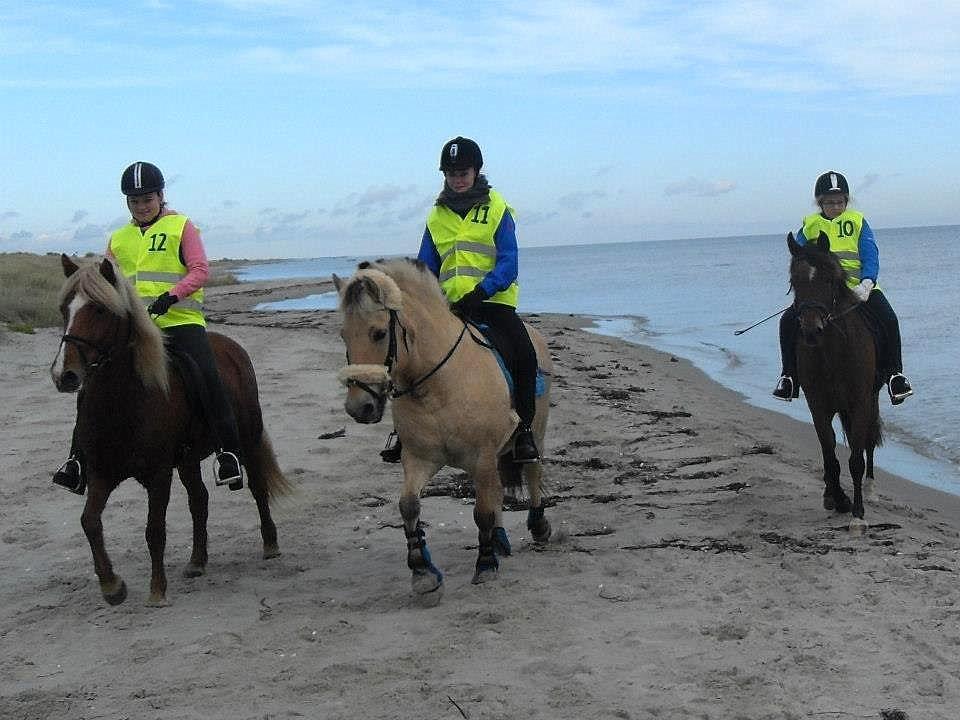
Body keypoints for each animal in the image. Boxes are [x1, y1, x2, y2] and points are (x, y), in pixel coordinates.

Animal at [49, 256, 288, 604]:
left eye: (100, 310)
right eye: (64, 308)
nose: (64, 375)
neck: (123, 403)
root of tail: (231, 347)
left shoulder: (159, 475)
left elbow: (154, 530)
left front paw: (157, 590)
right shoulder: (100, 472)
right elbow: (90, 522)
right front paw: (112, 587)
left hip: (248, 438)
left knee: (257, 486)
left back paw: (270, 544)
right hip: (187, 459)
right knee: (199, 500)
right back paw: (197, 561)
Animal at [334, 258, 552, 596]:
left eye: (379, 333)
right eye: (344, 335)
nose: (359, 408)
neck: (438, 386)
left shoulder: (481, 457)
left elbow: (482, 512)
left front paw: (485, 564)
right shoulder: (419, 458)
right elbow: (409, 506)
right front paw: (422, 570)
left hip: (534, 434)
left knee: (531, 472)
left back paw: (538, 527)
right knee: (498, 491)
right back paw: (499, 540)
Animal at [788, 232, 884, 524]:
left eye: (829, 280)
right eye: (794, 282)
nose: (811, 330)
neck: (832, 352)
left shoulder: (859, 402)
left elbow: (856, 457)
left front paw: (858, 514)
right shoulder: (818, 406)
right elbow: (829, 452)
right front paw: (836, 498)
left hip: (871, 399)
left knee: (867, 443)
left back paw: (870, 488)